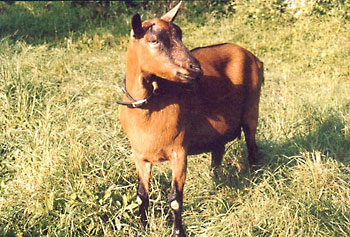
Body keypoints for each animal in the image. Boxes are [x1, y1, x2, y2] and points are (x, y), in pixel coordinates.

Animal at [117, 1, 262, 235]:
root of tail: (252, 56)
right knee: (218, 151)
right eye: (154, 40)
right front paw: (142, 227)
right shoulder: (140, 155)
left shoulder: (179, 151)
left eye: (180, 34)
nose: (195, 68)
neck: (148, 106)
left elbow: (175, 199)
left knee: (252, 145)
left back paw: (256, 176)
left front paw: (178, 232)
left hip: (252, 109)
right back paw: (215, 181)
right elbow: (141, 196)